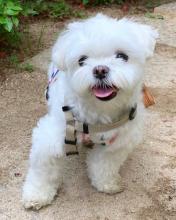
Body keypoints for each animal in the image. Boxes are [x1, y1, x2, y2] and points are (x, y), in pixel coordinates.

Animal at [22, 13, 158, 210]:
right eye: (82, 60)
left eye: (122, 56)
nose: (100, 70)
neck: (99, 112)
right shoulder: (49, 140)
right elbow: (43, 171)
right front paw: (37, 195)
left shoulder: (116, 143)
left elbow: (104, 165)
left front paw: (106, 183)